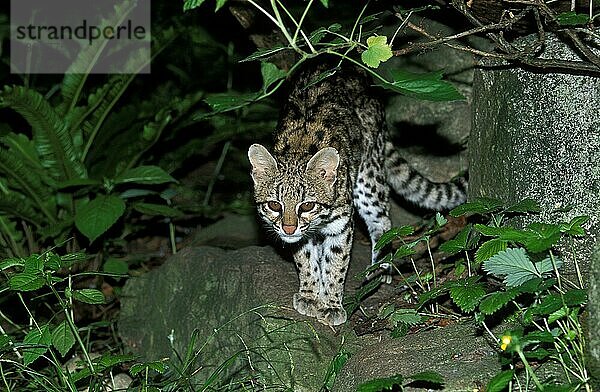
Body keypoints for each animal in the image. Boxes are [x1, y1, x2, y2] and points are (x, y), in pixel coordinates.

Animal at [246, 61, 466, 326]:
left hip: (368, 177)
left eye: (307, 205)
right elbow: (306, 259)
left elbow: (335, 264)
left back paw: (380, 268)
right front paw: (310, 295)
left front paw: (331, 304)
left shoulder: (341, 225)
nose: (288, 229)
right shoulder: (304, 235)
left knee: (383, 222)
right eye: (274, 205)